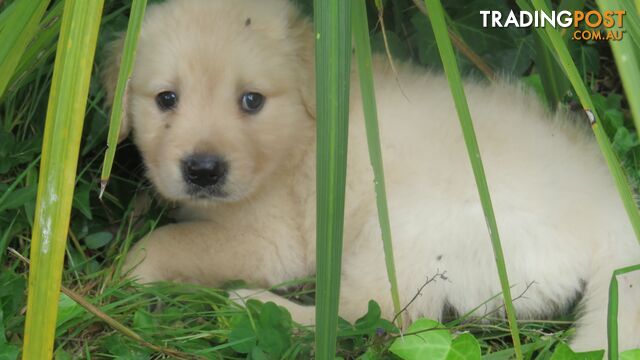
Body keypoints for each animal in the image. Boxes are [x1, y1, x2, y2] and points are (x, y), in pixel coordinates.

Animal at [105, 0, 640, 352]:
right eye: (166, 99)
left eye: (251, 100)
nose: (202, 170)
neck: (302, 133)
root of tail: (610, 211)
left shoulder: (274, 240)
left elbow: (161, 245)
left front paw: (123, 277)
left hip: (404, 227)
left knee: (373, 316)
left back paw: (253, 307)